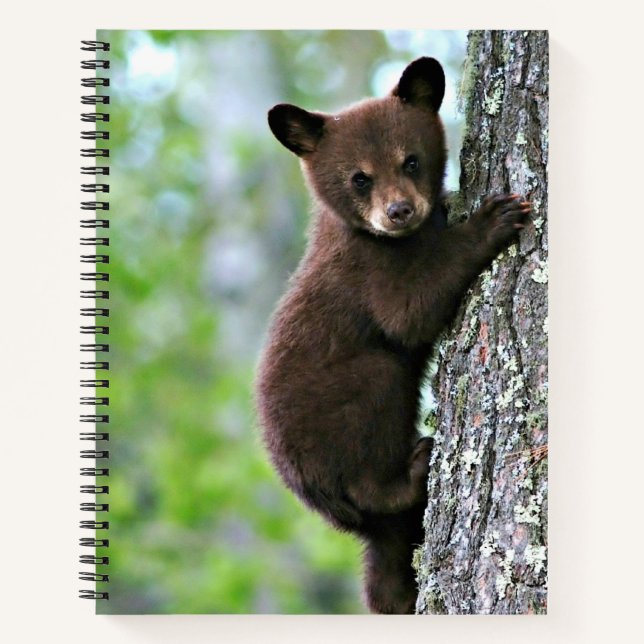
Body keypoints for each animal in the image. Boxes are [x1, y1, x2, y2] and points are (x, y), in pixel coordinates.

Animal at [255, 57, 530, 614]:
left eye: (411, 161)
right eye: (360, 178)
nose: (399, 211)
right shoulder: (368, 270)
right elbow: (410, 312)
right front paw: (493, 219)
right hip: (345, 414)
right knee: (373, 432)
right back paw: (414, 467)